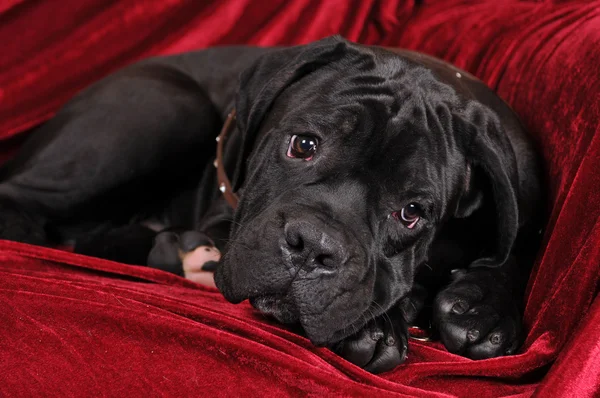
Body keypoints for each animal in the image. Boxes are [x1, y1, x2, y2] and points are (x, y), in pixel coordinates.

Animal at [0, 36, 544, 374]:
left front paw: (482, 311)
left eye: (411, 212)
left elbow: (516, 251)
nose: (312, 249)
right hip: (169, 110)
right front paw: (381, 326)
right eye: (303, 145)